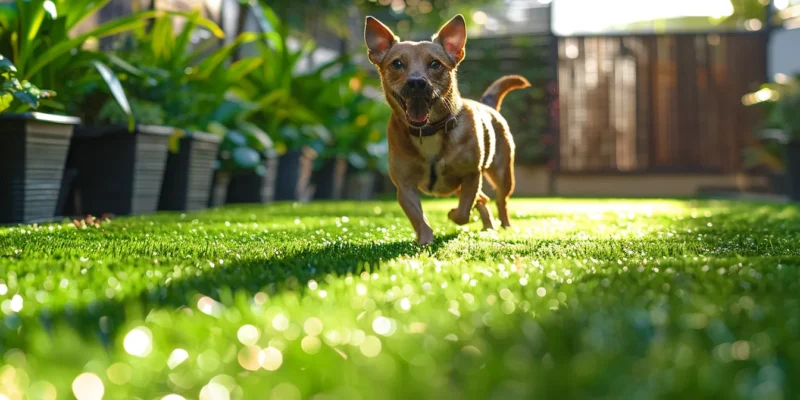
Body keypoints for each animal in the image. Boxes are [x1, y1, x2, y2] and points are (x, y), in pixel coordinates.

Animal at [364, 14, 528, 245]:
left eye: (435, 64)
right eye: (397, 64)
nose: (416, 83)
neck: (429, 131)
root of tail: (488, 105)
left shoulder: (471, 176)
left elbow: (464, 212)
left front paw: (453, 214)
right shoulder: (405, 187)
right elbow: (419, 219)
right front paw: (424, 241)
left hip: (503, 175)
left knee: (499, 200)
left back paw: (504, 226)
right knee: (484, 200)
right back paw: (488, 227)